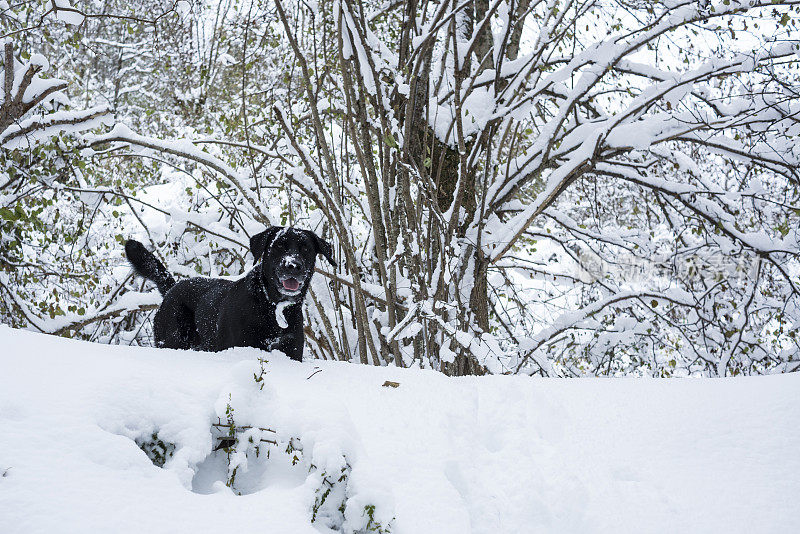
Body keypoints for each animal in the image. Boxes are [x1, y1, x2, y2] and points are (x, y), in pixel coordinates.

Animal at [126, 228, 332, 362]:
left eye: (306, 249)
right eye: (279, 246)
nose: (293, 265)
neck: (271, 305)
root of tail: (173, 288)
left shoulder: (291, 352)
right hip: (172, 340)